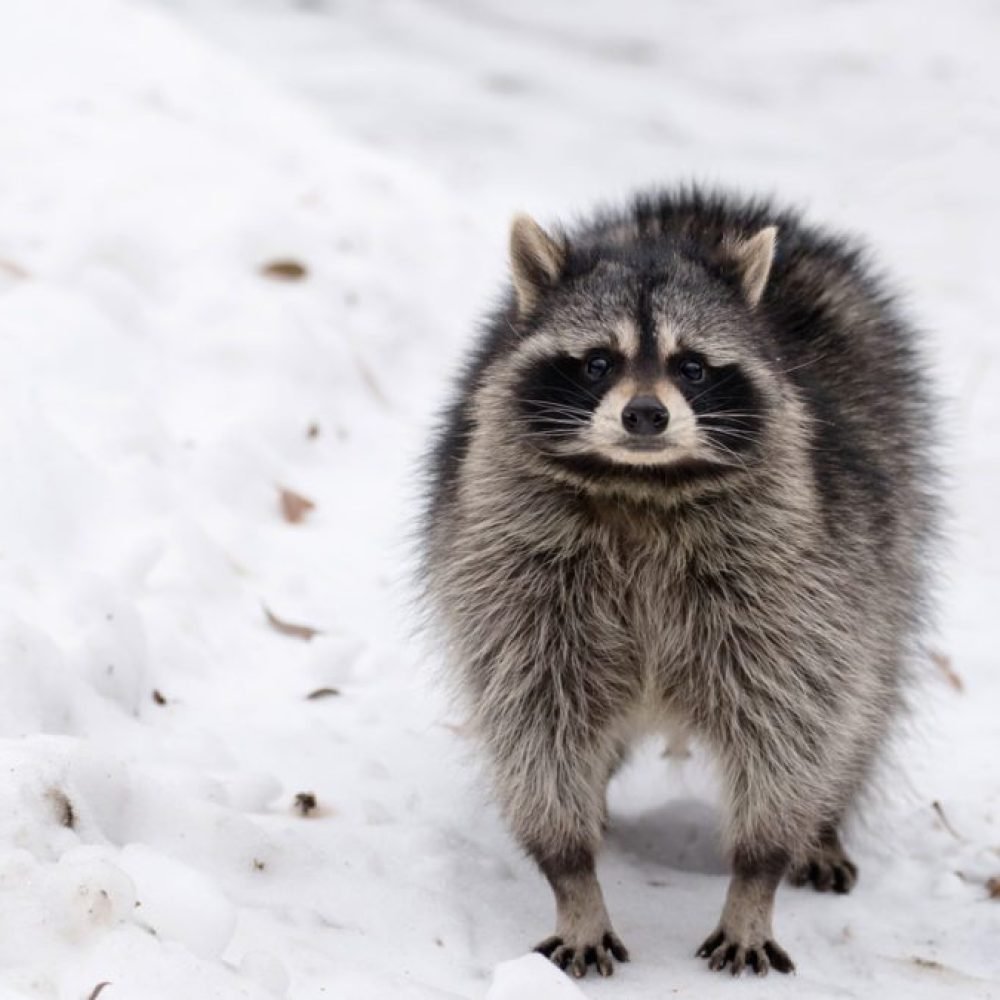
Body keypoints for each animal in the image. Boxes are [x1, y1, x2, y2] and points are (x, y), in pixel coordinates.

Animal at [420, 188, 938, 978]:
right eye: (597, 362)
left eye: (691, 367)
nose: (645, 414)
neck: (641, 485)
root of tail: (701, 202)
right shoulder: (512, 569)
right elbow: (535, 718)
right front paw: (572, 877)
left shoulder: (798, 577)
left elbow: (793, 720)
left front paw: (758, 875)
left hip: (886, 538)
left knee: (863, 701)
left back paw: (824, 820)